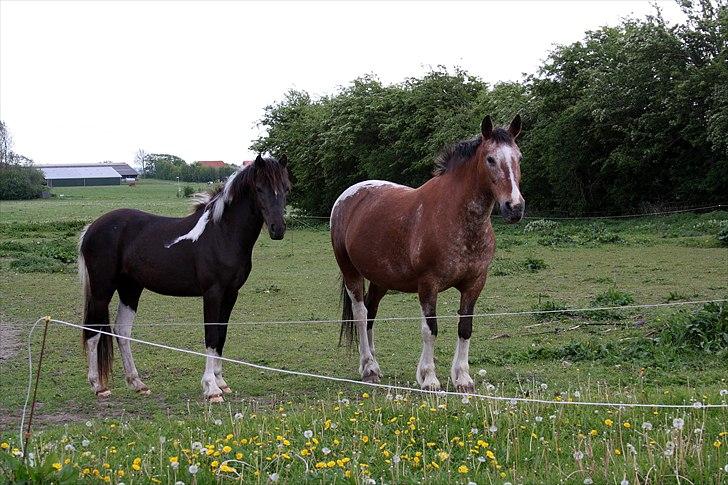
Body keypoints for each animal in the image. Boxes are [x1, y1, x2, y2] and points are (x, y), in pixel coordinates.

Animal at [79, 155, 290, 400]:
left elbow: (221, 335)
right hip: (102, 290)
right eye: (259, 188)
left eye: (286, 188)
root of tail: (91, 228)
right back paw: (98, 386)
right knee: (93, 331)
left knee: (122, 331)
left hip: (130, 288)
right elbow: (211, 335)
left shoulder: (231, 294)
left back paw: (137, 383)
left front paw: (221, 382)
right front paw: (211, 388)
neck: (222, 234)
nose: (278, 229)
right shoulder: (213, 293)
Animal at [330, 116, 524, 394]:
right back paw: (368, 368)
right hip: (351, 273)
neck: (455, 216)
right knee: (360, 313)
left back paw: (375, 364)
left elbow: (465, 328)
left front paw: (463, 378)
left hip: (380, 280)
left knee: (371, 313)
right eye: (490, 159)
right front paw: (429, 378)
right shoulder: (428, 285)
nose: (515, 207)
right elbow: (429, 329)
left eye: (519, 157)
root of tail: (348, 196)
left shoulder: (474, 283)